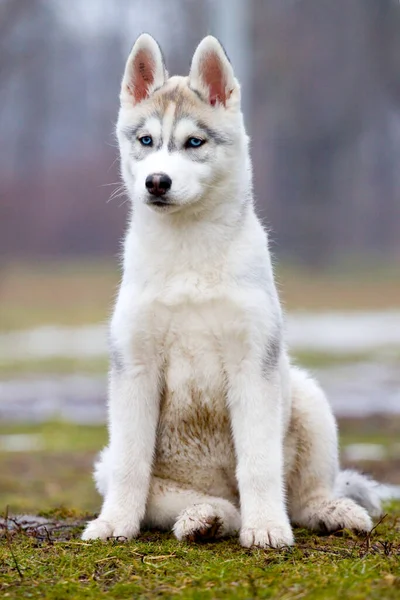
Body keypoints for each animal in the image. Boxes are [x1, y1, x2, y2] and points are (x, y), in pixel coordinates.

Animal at [82, 32, 382, 548]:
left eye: (193, 142)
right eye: (146, 141)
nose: (156, 182)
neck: (189, 254)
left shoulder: (252, 364)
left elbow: (259, 465)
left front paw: (268, 530)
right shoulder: (135, 368)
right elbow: (130, 465)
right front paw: (115, 524)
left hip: (307, 398)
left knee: (303, 495)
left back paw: (330, 512)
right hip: (136, 472)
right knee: (206, 503)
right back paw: (205, 518)